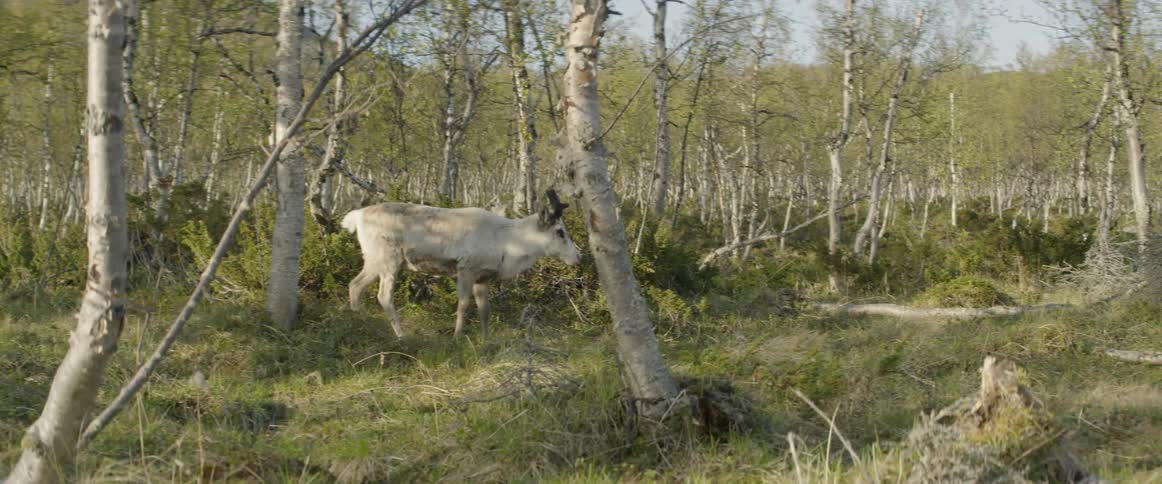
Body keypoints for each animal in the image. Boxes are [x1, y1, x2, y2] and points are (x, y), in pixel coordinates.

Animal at [341, 190, 581, 338]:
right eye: (560, 231)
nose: (578, 256)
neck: (508, 242)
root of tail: (357, 215)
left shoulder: (483, 277)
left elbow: (484, 308)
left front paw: (486, 339)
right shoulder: (466, 269)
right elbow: (464, 305)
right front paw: (457, 337)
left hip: (373, 261)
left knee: (354, 285)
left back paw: (359, 322)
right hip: (388, 260)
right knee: (383, 295)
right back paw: (401, 335)